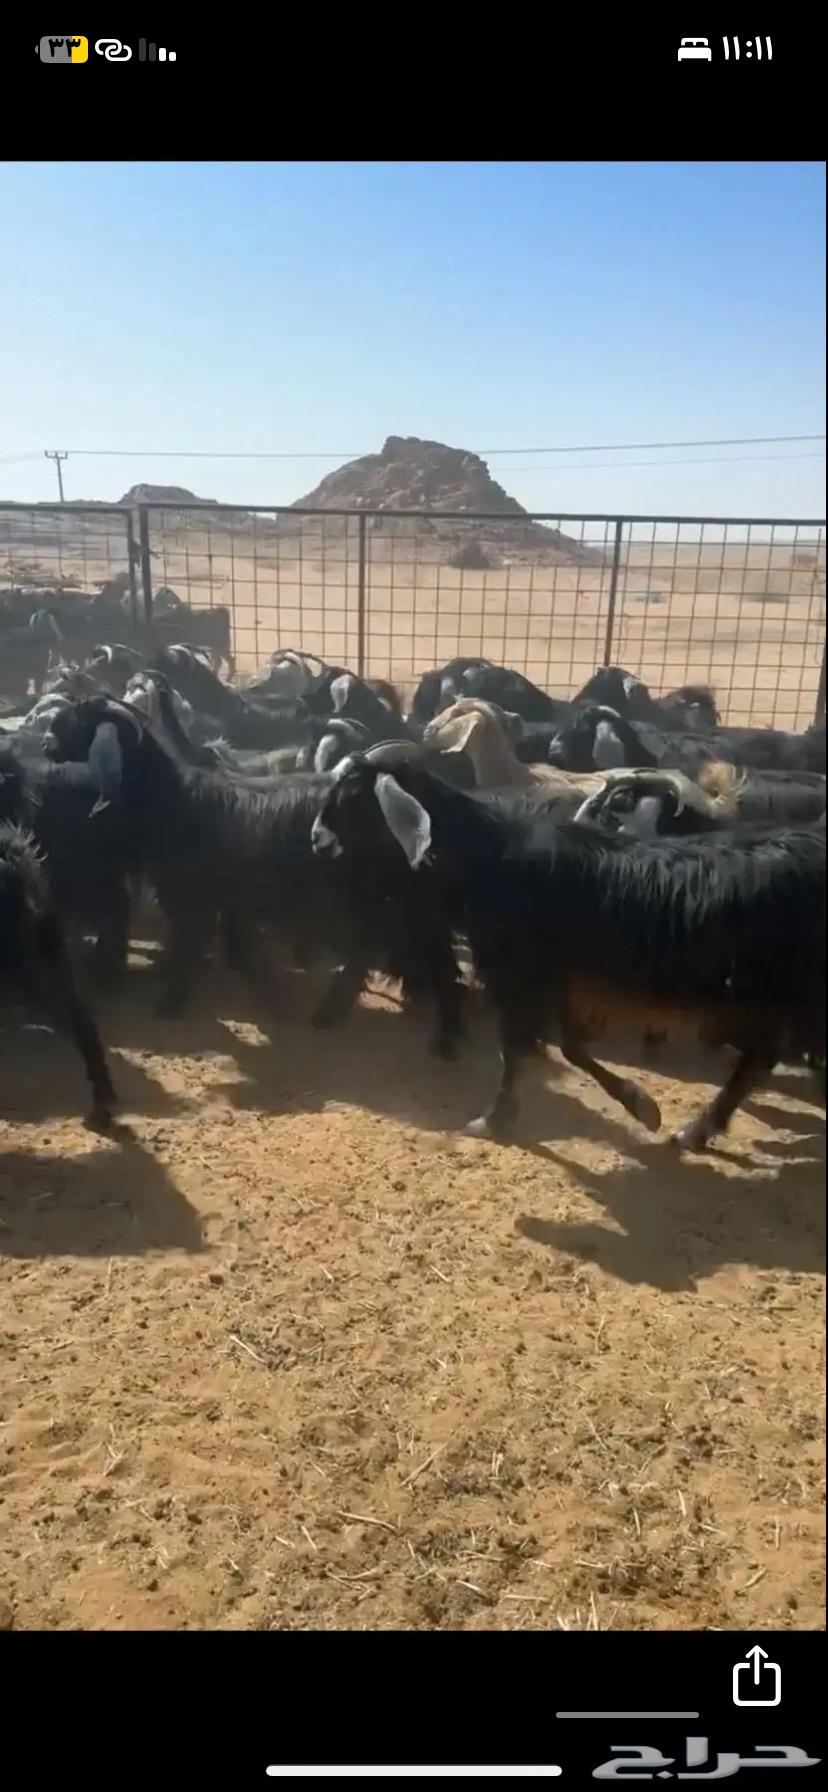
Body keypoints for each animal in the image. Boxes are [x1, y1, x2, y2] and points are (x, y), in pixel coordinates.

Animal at [311, 745, 825, 1151]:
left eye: (352, 793)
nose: (317, 840)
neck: (495, 858)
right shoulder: (562, 983)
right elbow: (572, 1049)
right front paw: (642, 1106)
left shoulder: (522, 976)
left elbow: (517, 1048)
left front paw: (494, 1118)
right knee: (760, 1058)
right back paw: (699, 1130)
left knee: (760, 1058)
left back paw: (698, 1130)